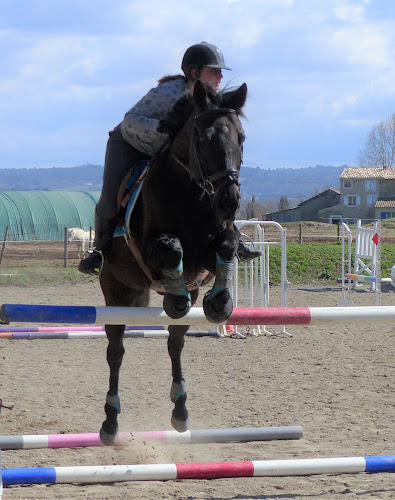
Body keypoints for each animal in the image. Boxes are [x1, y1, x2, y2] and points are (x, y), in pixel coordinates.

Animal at [99, 79, 248, 446]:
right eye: (205, 139)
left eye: (241, 138)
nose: (231, 200)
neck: (192, 191)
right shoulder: (152, 250)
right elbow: (172, 248)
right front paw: (176, 297)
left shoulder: (206, 257)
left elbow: (226, 246)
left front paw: (220, 304)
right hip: (116, 289)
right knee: (116, 351)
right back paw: (110, 421)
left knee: (175, 344)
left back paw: (180, 411)